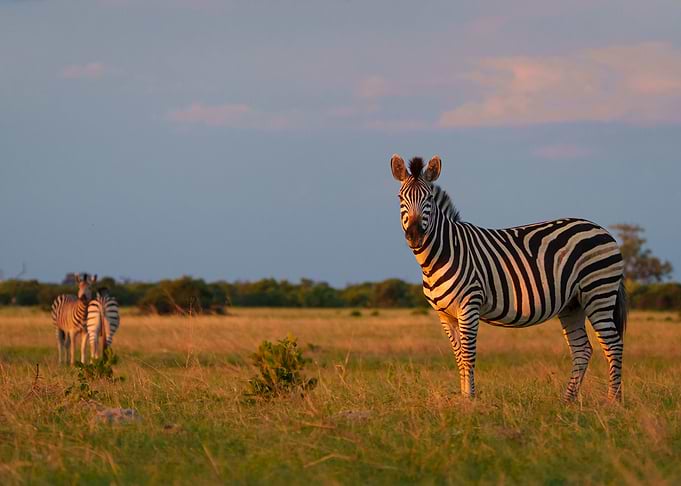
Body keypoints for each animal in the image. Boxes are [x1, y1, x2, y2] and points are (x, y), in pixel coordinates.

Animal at [390, 154, 627, 401]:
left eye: (428, 198)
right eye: (400, 198)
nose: (414, 236)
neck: (443, 253)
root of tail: (602, 230)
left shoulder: (469, 306)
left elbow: (468, 356)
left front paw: (470, 400)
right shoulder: (444, 315)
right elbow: (459, 358)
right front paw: (463, 400)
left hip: (598, 292)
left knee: (613, 345)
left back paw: (613, 402)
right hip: (573, 304)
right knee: (583, 350)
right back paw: (567, 402)